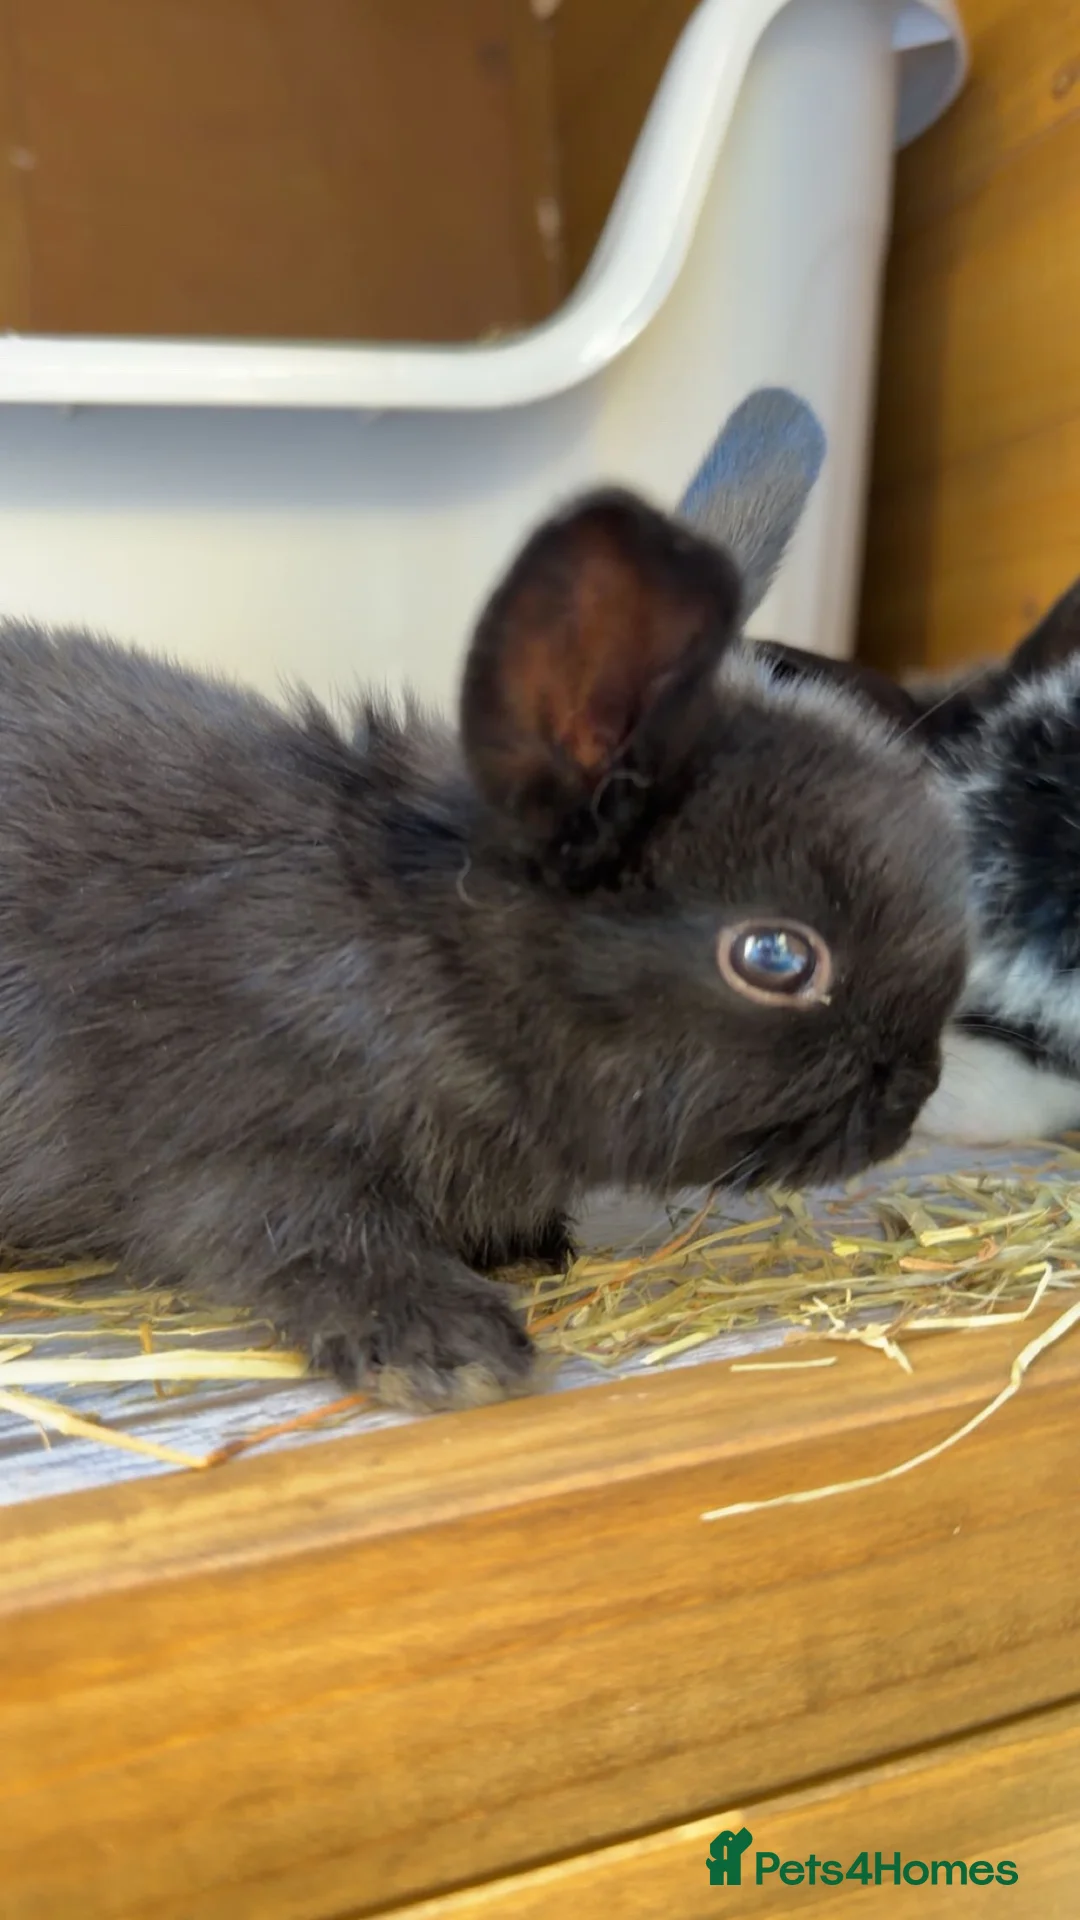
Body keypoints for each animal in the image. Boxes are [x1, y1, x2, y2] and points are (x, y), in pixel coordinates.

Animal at [0, 396, 967, 1411]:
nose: (914, 1094)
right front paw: (453, 1355)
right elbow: (316, 1239)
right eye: (776, 957)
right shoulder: (249, 1151)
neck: (440, 962)